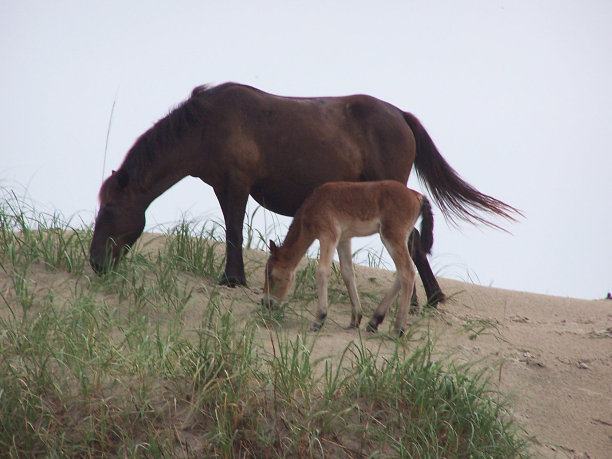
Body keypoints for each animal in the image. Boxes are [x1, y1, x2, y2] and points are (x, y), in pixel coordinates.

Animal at [89, 82, 520, 308]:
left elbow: (233, 231)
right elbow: (232, 231)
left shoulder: (235, 185)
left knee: (412, 241)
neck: (208, 124)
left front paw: (232, 279)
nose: (94, 262)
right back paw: (428, 299)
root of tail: (400, 115)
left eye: (108, 209)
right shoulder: (225, 187)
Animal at [260, 181, 432, 336]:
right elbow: (348, 272)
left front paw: (319, 319)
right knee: (402, 273)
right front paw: (355, 319)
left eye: (270, 274)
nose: (265, 302)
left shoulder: (328, 235)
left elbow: (322, 272)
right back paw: (374, 321)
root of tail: (417, 195)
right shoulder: (344, 240)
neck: (314, 205)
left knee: (407, 272)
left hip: (392, 236)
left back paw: (398, 329)